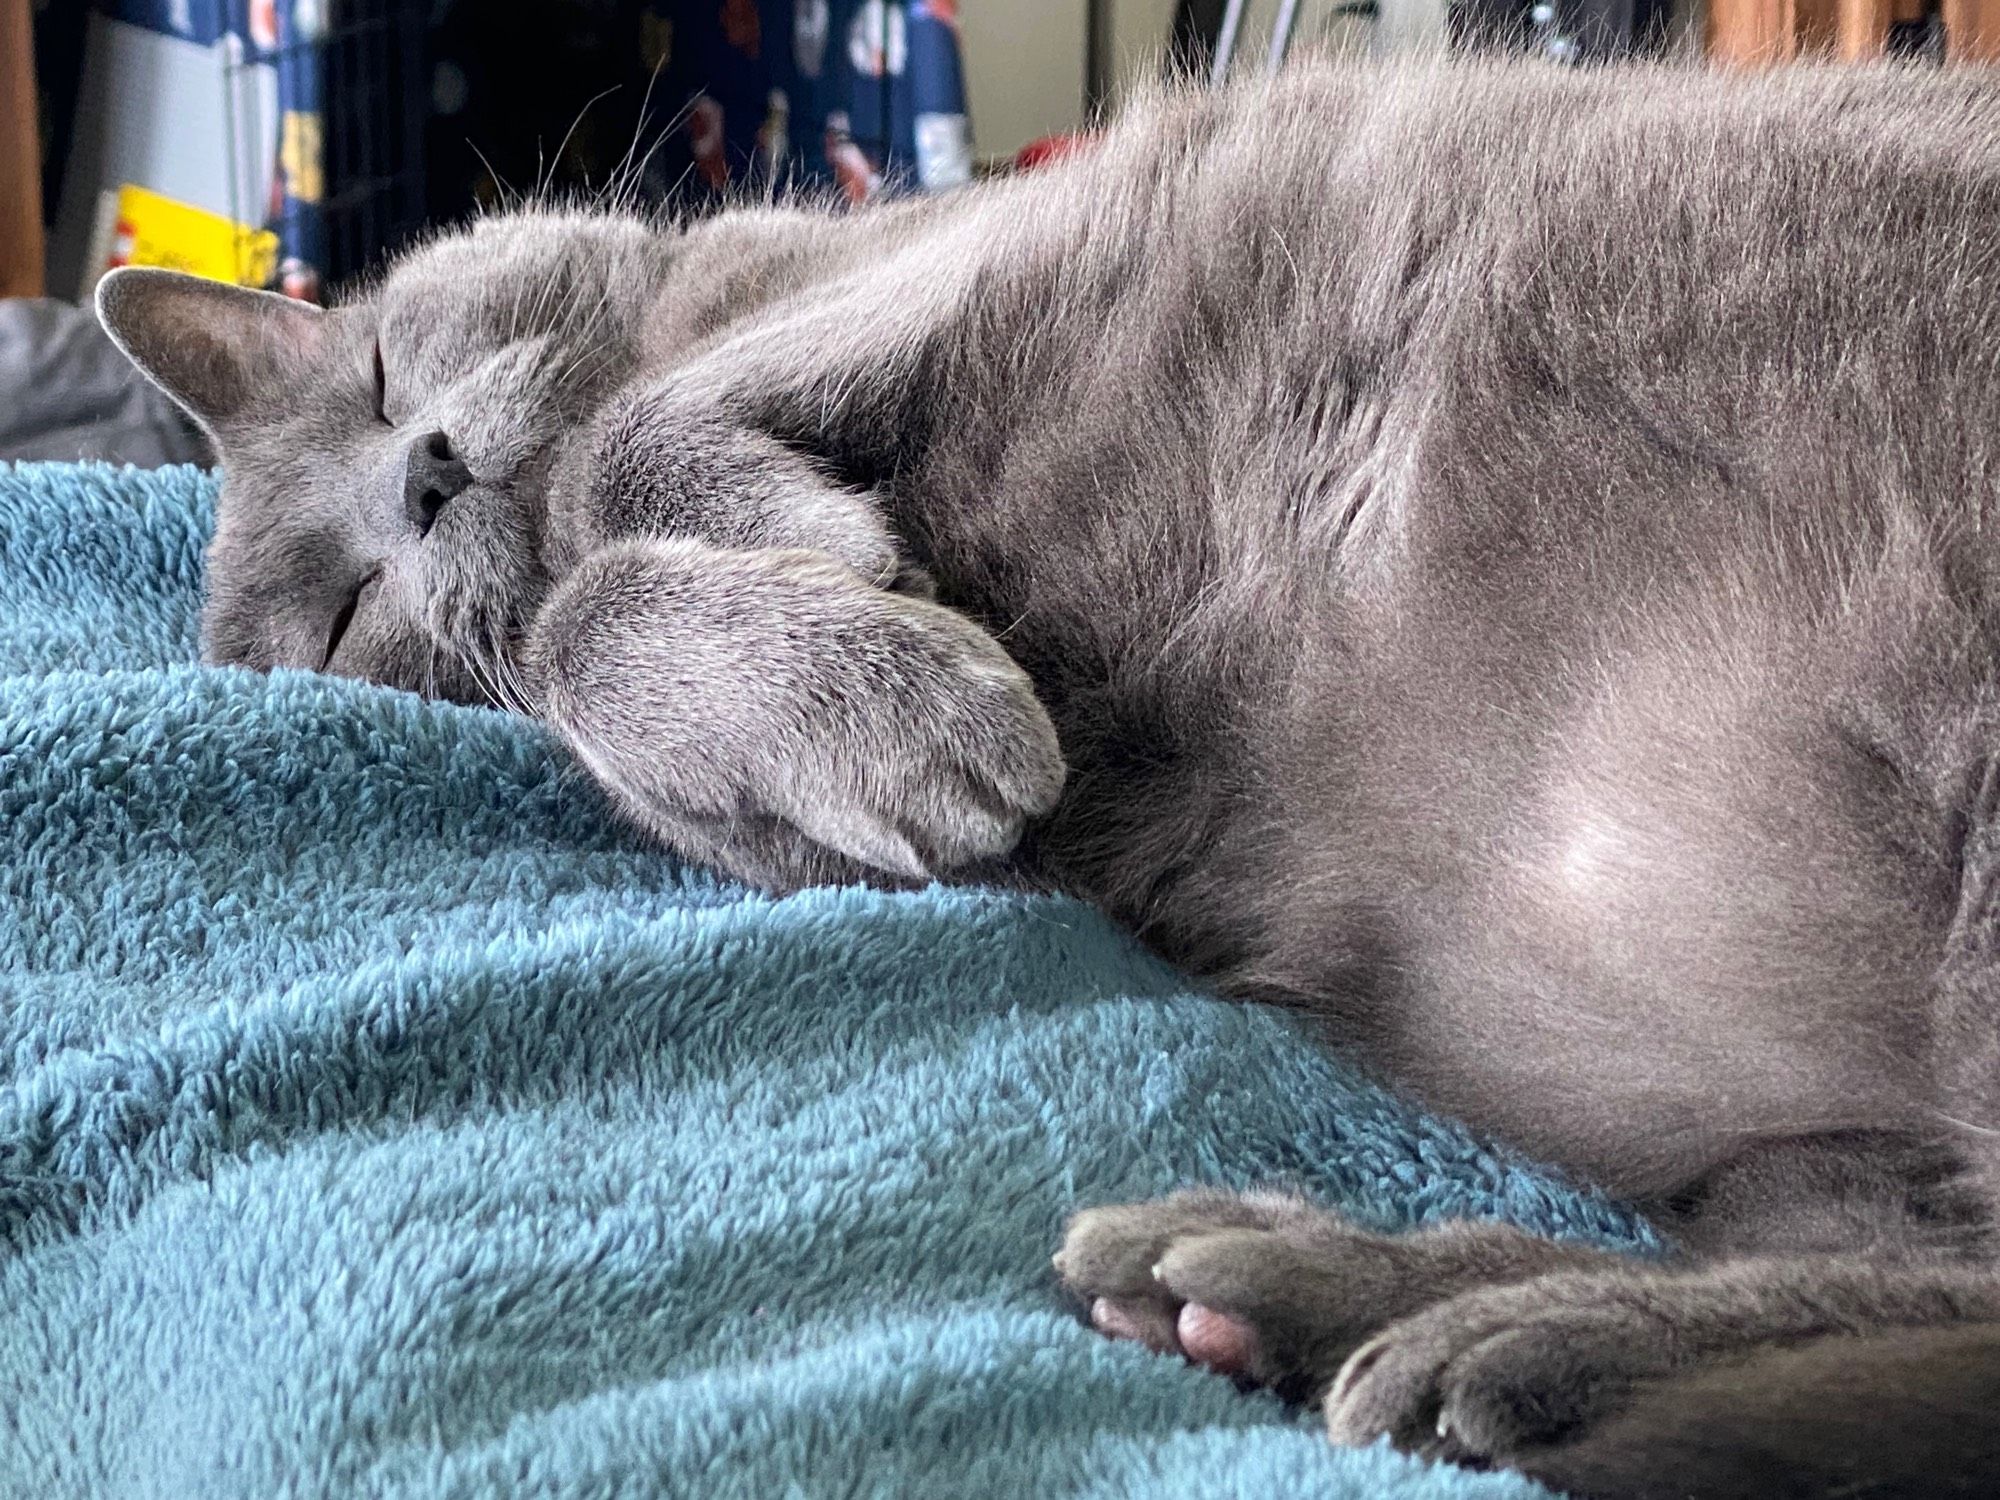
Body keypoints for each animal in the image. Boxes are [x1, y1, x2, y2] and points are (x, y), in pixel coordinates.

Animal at [101, 58, 2000, 1500]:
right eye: (342, 619)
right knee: (1907, 1273)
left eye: (381, 376)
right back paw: (1315, 1297)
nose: (422, 477)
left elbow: (622, 465)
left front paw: (871, 626)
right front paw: (893, 700)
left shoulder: (952, 253)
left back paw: (1483, 1341)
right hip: (1799, 1153)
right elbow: (579, 635)